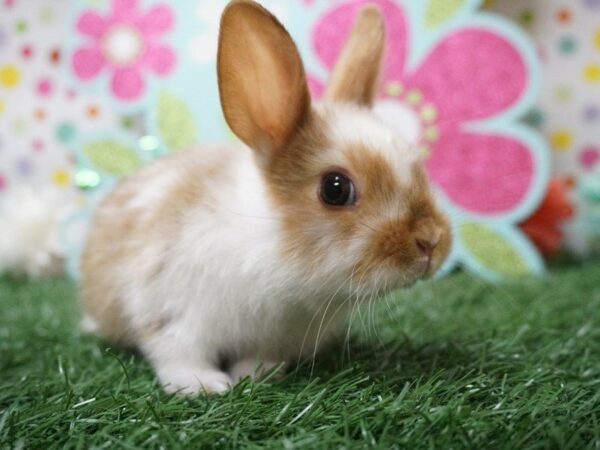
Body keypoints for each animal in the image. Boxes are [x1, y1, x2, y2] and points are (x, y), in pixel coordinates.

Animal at [79, 0, 450, 394]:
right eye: (335, 188)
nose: (431, 242)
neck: (269, 239)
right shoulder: (171, 314)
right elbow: (178, 354)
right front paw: (204, 386)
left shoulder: (273, 338)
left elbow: (257, 358)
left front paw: (256, 376)